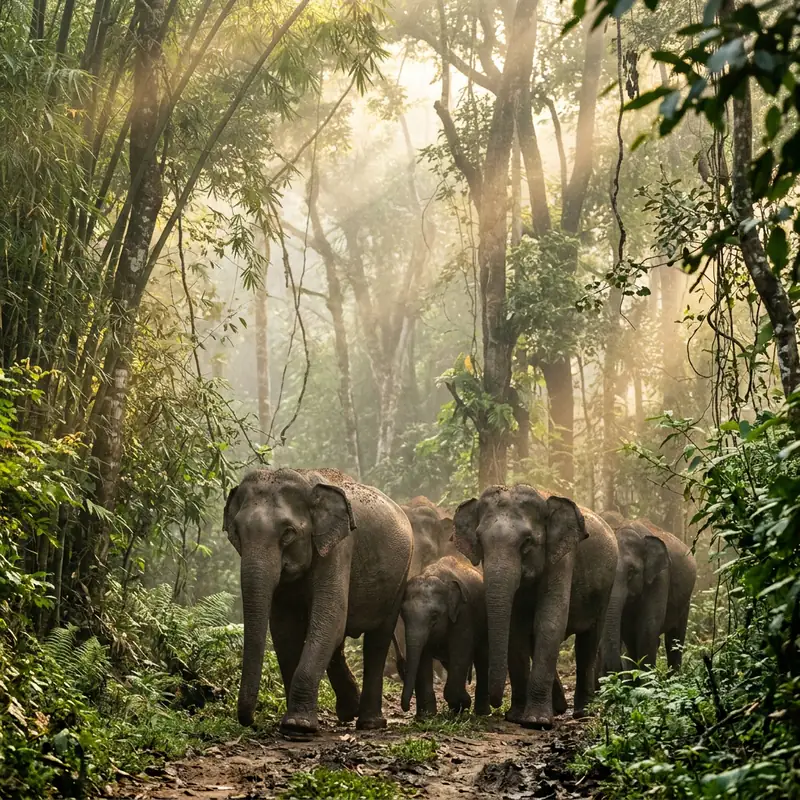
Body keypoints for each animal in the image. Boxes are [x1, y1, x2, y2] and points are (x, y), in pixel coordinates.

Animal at [224, 467, 413, 735]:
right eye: (237, 533)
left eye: (288, 533)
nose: (250, 721)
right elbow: (285, 630)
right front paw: (292, 724)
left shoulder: (338, 549)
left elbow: (330, 617)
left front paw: (298, 726)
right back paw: (348, 711)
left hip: (400, 576)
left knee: (377, 639)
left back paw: (369, 723)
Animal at [400, 555, 489, 719]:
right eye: (402, 613)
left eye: (435, 616)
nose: (406, 708)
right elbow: (422, 657)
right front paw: (426, 717)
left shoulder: (464, 614)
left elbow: (460, 654)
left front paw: (463, 705)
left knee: (482, 658)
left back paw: (482, 713)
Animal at [453, 484, 618, 729]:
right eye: (480, 541)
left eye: (527, 541)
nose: (494, 705)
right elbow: (516, 629)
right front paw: (515, 717)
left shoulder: (562, 558)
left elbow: (549, 622)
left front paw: (535, 721)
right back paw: (559, 707)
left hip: (605, 590)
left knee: (588, 641)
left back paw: (582, 713)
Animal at [600, 511, 697, 672]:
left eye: (631, 572)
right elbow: (630, 635)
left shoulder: (660, 578)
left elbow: (648, 629)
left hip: (685, 602)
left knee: (674, 640)